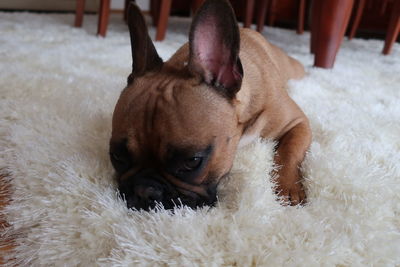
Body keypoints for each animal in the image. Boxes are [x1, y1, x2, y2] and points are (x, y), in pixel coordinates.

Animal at [110, 0, 312, 211]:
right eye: (116, 156)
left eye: (192, 162)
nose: (144, 190)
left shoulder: (298, 123)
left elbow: (290, 151)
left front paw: (288, 188)